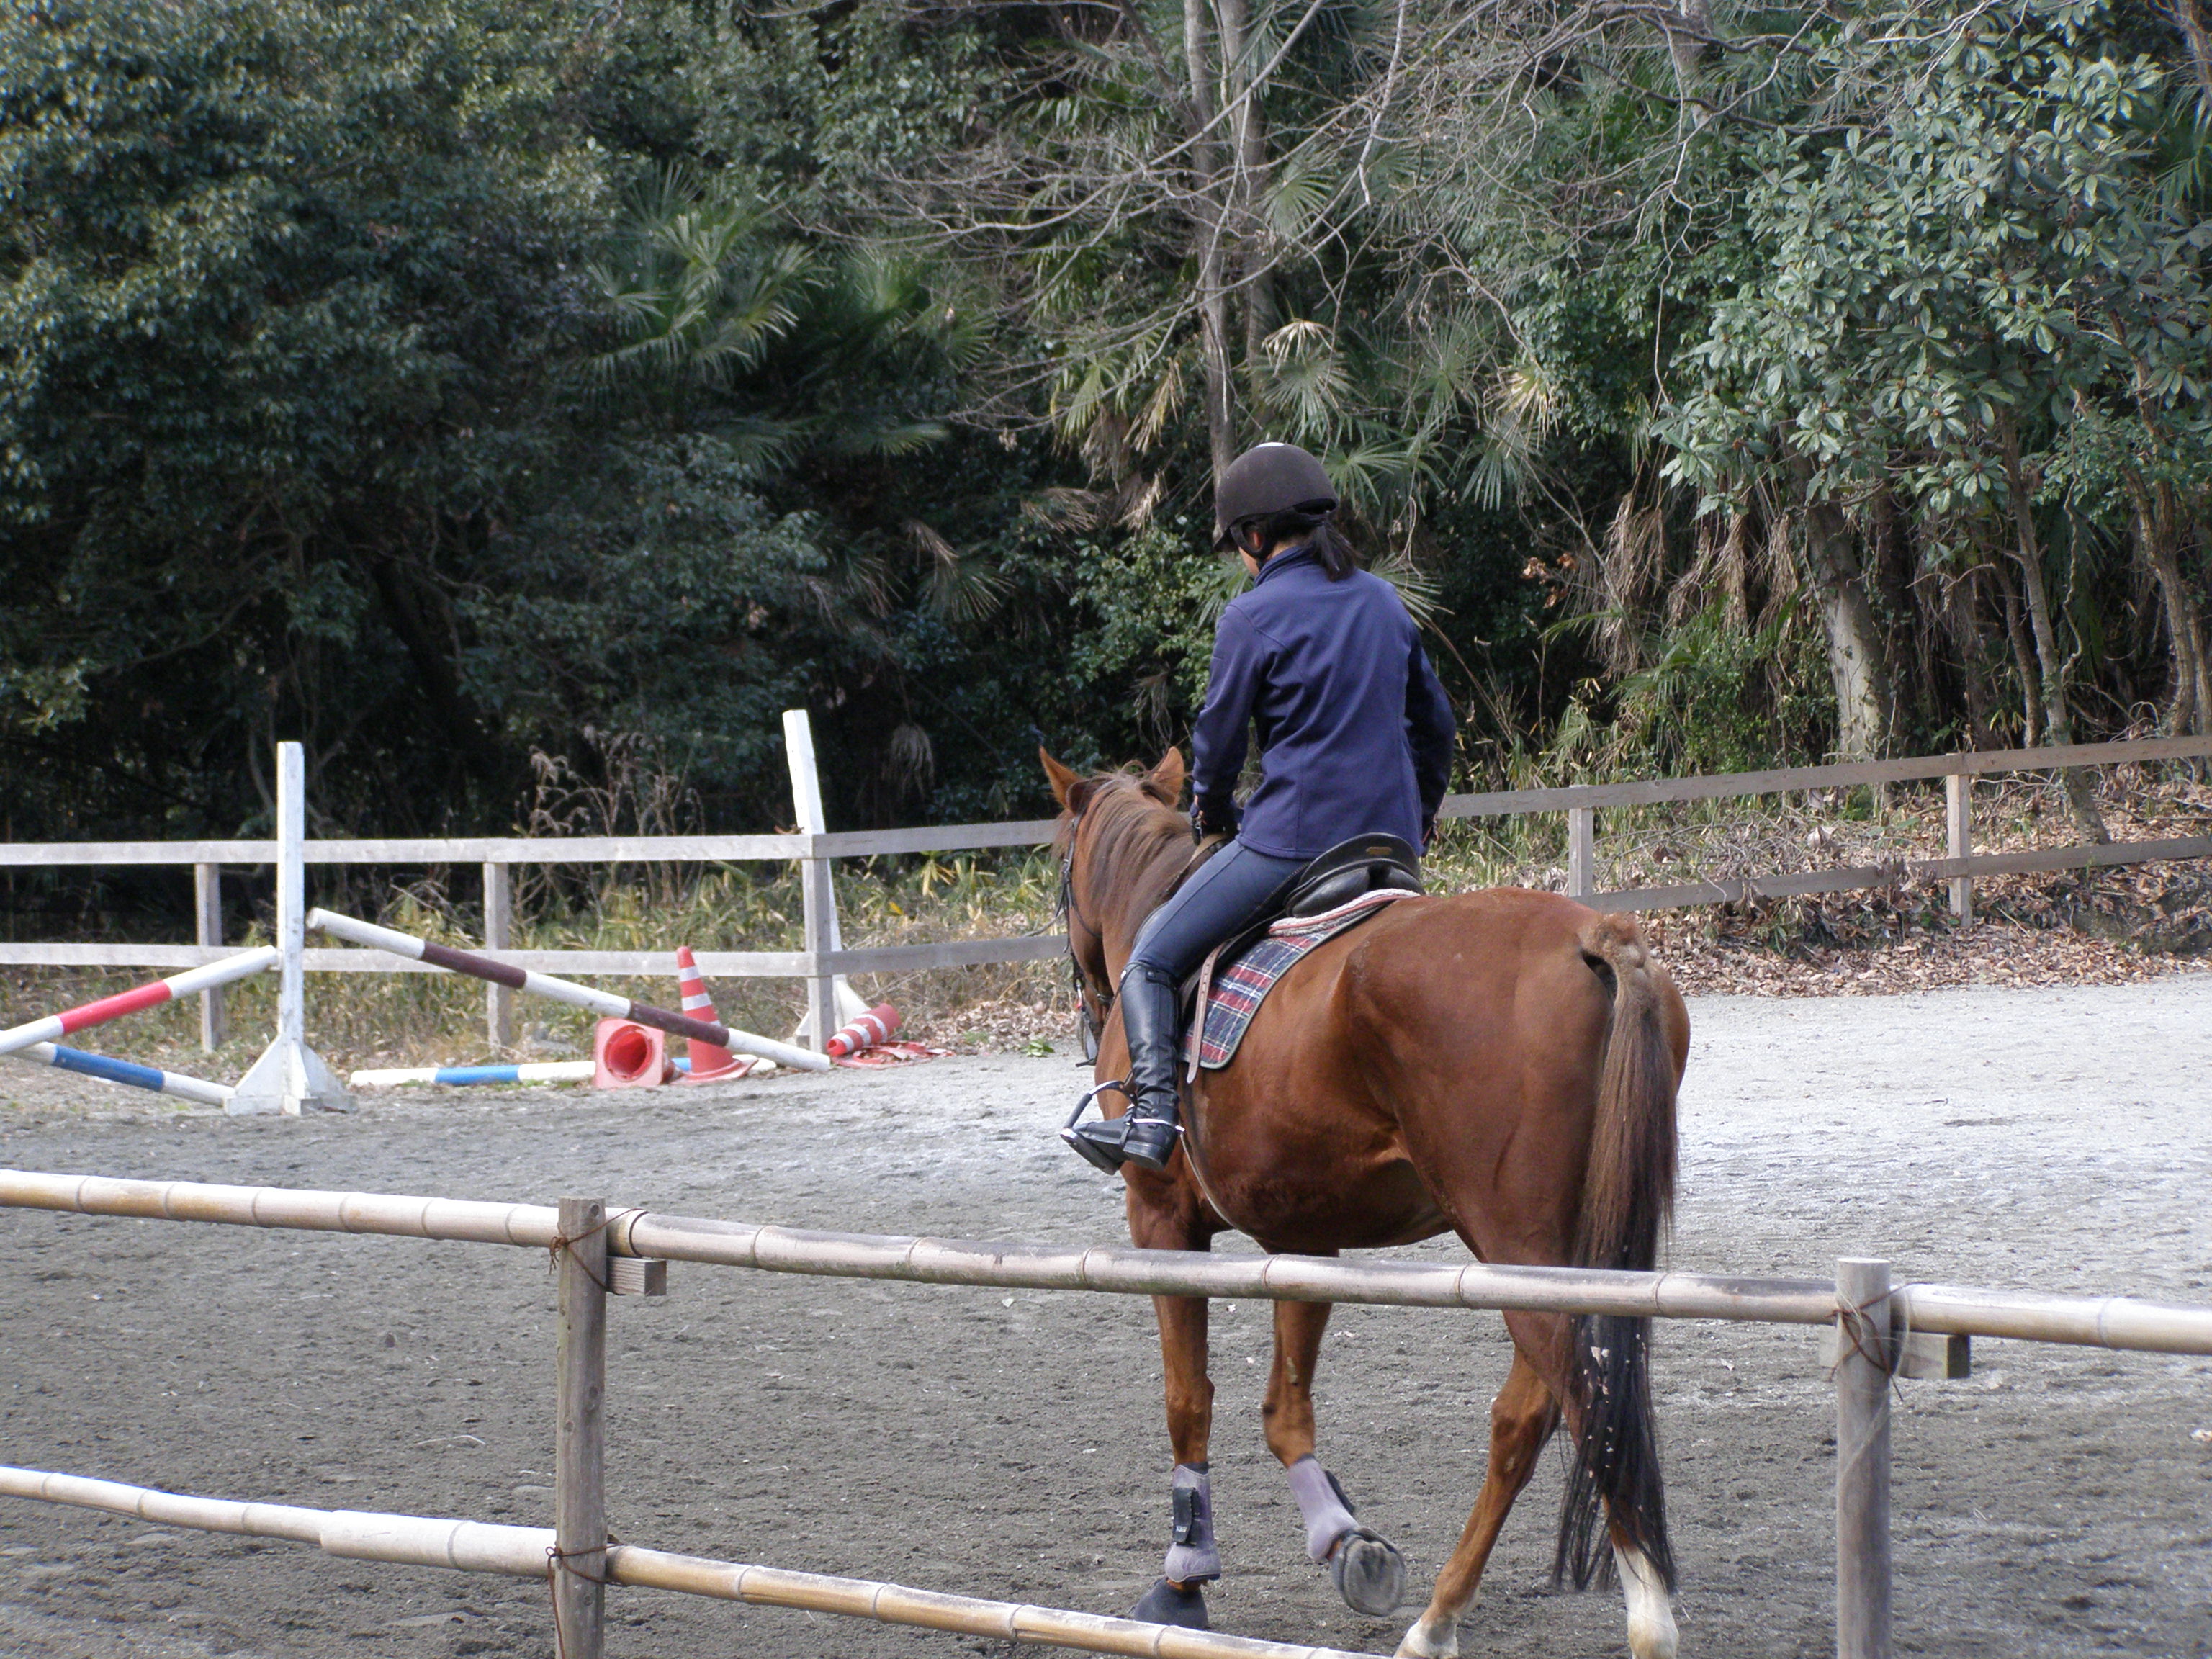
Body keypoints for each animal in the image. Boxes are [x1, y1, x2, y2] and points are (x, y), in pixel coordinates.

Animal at [1042, 747, 1690, 1659]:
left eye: (1059, 866)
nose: (1082, 1002)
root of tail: (1592, 938)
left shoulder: (1161, 1220)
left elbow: (1187, 1397)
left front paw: (1185, 1577)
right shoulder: (1307, 1233)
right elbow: (1285, 1409)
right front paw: (1346, 1541)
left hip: (1521, 1248)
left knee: (1582, 1401)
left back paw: (1644, 1617)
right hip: (1568, 1251)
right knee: (1531, 1416)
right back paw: (1440, 1615)